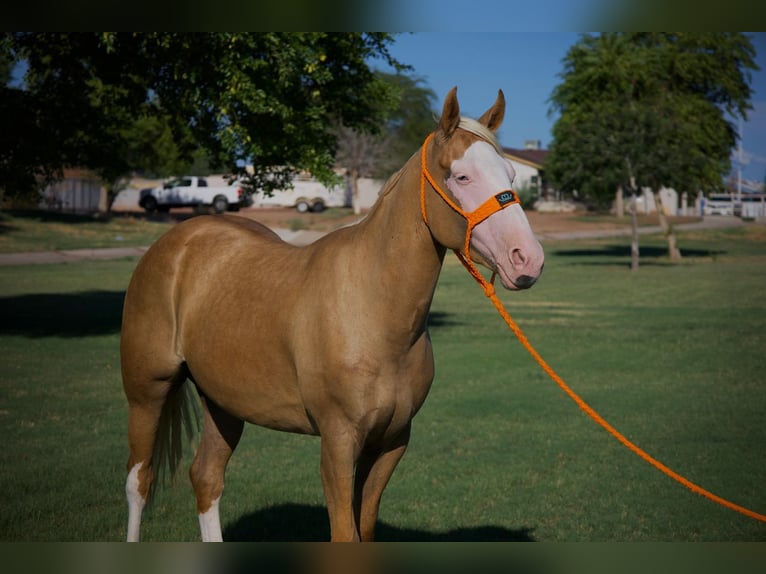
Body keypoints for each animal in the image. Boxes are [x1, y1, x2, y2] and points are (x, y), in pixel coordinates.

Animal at [121, 87, 545, 542]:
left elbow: (365, 528)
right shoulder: (339, 442)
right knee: (139, 482)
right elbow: (345, 533)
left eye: (511, 174)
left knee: (206, 478)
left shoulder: (391, 441)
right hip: (147, 391)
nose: (527, 259)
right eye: (462, 176)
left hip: (222, 401)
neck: (374, 311)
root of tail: (176, 242)